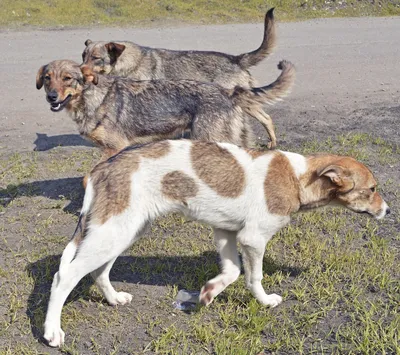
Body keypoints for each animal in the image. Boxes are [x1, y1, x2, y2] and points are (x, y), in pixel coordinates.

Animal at [43, 140, 388, 348]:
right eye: (372, 189)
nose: (387, 210)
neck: (297, 177)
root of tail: (102, 167)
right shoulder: (253, 239)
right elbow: (254, 277)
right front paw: (265, 302)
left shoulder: (226, 233)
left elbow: (232, 272)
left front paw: (209, 292)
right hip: (112, 233)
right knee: (64, 276)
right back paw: (51, 330)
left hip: (123, 231)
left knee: (98, 271)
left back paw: (114, 299)